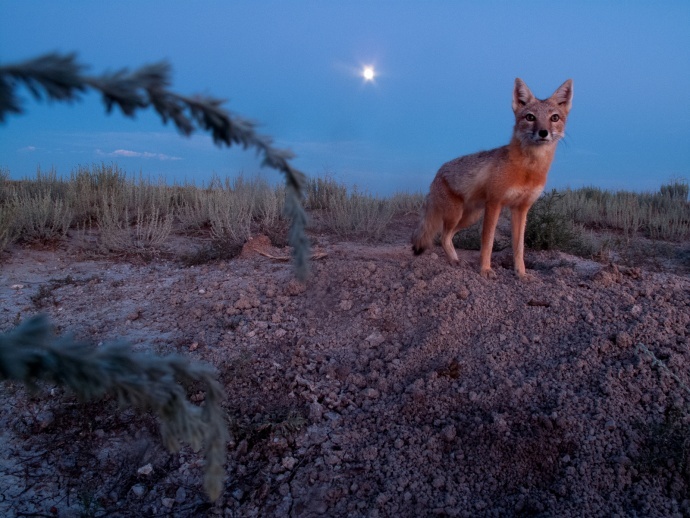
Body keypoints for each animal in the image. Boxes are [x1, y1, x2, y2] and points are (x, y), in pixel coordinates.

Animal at [412, 78, 572, 280]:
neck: (528, 170)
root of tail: (437, 173)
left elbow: (519, 247)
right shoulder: (495, 203)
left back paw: (456, 261)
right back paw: (454, 262)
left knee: (446, 236)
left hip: (470, 217)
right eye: (530, 117)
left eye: (554, 118)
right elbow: (487, 242)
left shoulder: (521, 209)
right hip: (457, 215)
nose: (543, 132)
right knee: (442, 236)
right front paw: (485, 270)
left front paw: (521, 273)